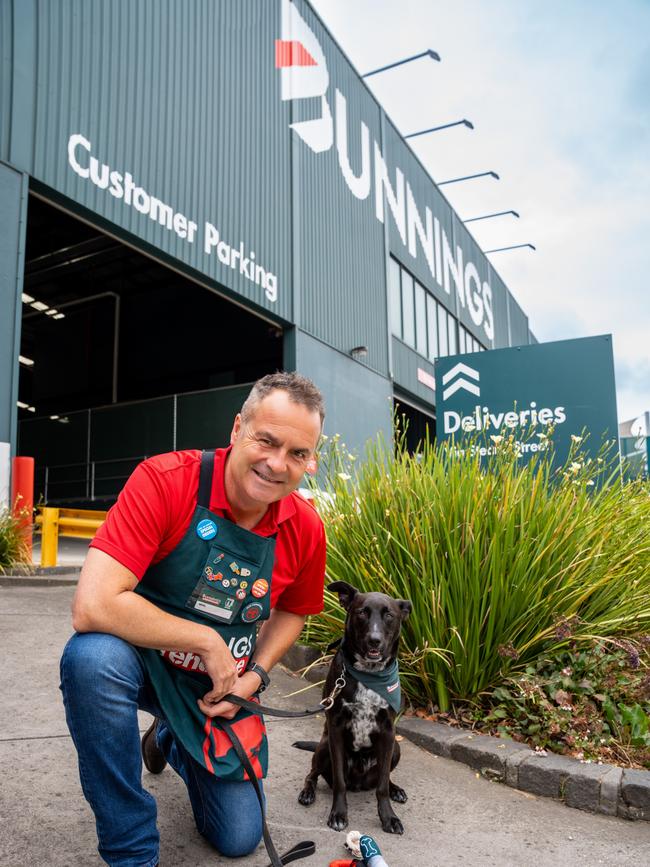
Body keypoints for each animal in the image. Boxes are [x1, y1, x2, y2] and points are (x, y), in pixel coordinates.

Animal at [294, 584, 408, 836]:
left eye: (389, 615)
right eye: (362, 612)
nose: (374, 640)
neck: (370, 673)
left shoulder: (388, 732)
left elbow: (382, 786)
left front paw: (389, 817)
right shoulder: (336, 729)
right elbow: (339, 782)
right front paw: (338, 814)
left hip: (395, 748)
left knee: (384, 778)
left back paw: (396, 789)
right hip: (323, 747)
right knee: (312, 774)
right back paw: (307, 793)